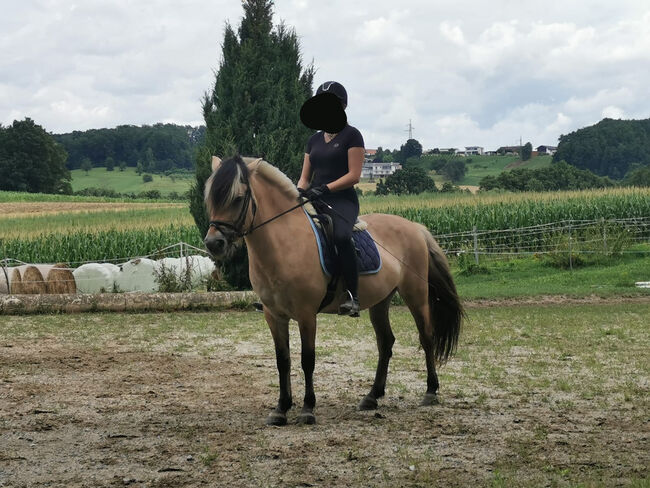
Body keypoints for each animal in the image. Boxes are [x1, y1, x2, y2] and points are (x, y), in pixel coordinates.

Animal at [202, 154, 460, 426]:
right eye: (211, 199)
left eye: (238, 198)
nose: (214, 243)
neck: (284, 243)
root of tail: (414, 227)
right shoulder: (273, 315)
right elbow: (283, 360)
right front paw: (281, 409)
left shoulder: (306, 314)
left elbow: (307, 359)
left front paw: (307, 409)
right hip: (381, 301)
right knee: (385, 343)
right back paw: (372, 397)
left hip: (415, 294)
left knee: (426, 336)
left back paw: (430, 391)